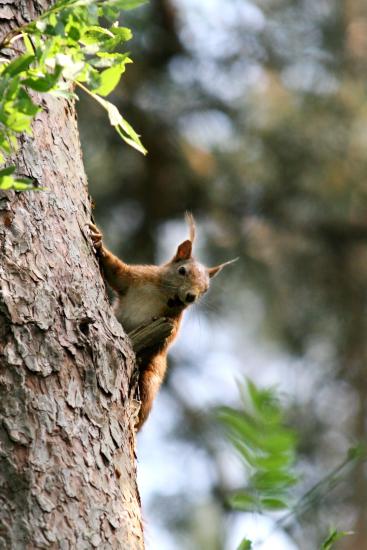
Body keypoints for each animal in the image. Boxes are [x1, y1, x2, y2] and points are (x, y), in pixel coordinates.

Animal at [90, 213, 237, 434]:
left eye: (206, 289)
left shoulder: (173, 320)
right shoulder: (134, 277)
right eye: (182, 270)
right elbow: (116, 271)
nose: (191, 297)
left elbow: (167, 339)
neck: (162, 294)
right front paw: (98, 243)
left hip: (151, 374)